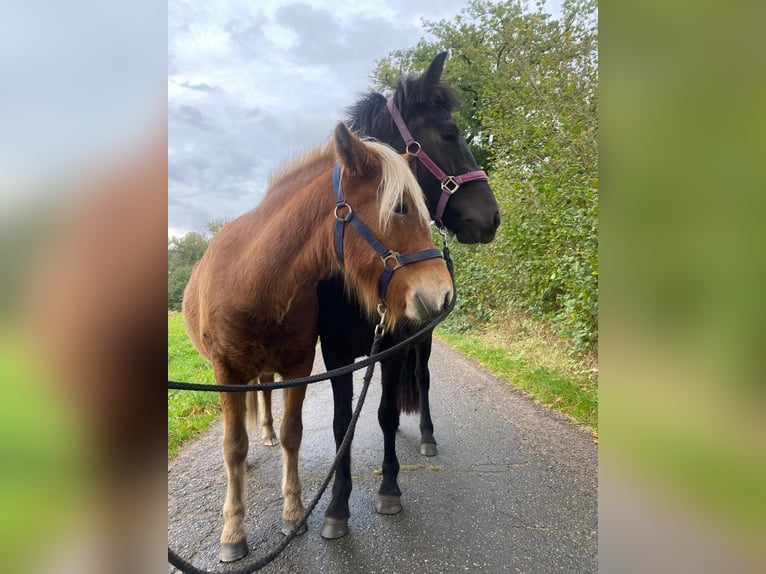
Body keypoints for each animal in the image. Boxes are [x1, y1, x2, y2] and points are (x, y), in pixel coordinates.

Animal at [183, 122, 452, 564]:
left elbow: (294, 432)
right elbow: (233, 445)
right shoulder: (226, 371)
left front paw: (294, 514)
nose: (443, 294)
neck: (255, 281)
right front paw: (233, 531)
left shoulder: (299, 365)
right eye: (399, 208)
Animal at [316, 53, 500, 540]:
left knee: (421, 382)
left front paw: (389, 488)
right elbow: (344, 423)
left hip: (423, 341)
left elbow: (384, 413)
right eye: (449, 134)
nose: (492, 218)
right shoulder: (336, 354)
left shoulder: (397, 344)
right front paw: (337, 506)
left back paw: (428, 436)